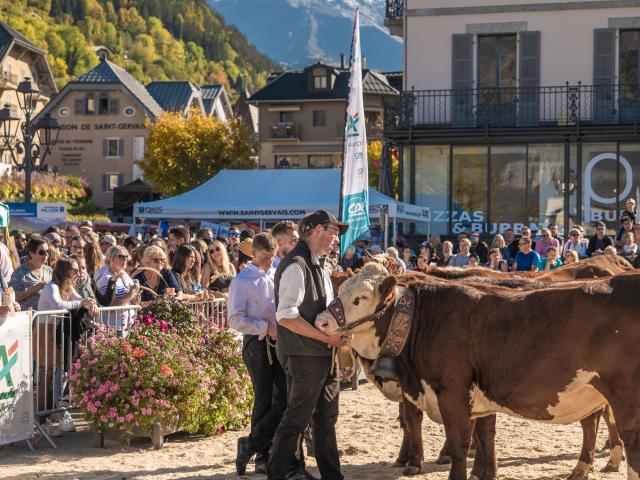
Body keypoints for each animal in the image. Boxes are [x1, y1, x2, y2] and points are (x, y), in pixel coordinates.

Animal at [318, 266, 636, 480]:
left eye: (360, 298)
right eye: (340, 289)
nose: (321, 321)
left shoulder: (452, 392)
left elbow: (458, 444)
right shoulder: (477, 397)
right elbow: (484, 435)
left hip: (626, 399)